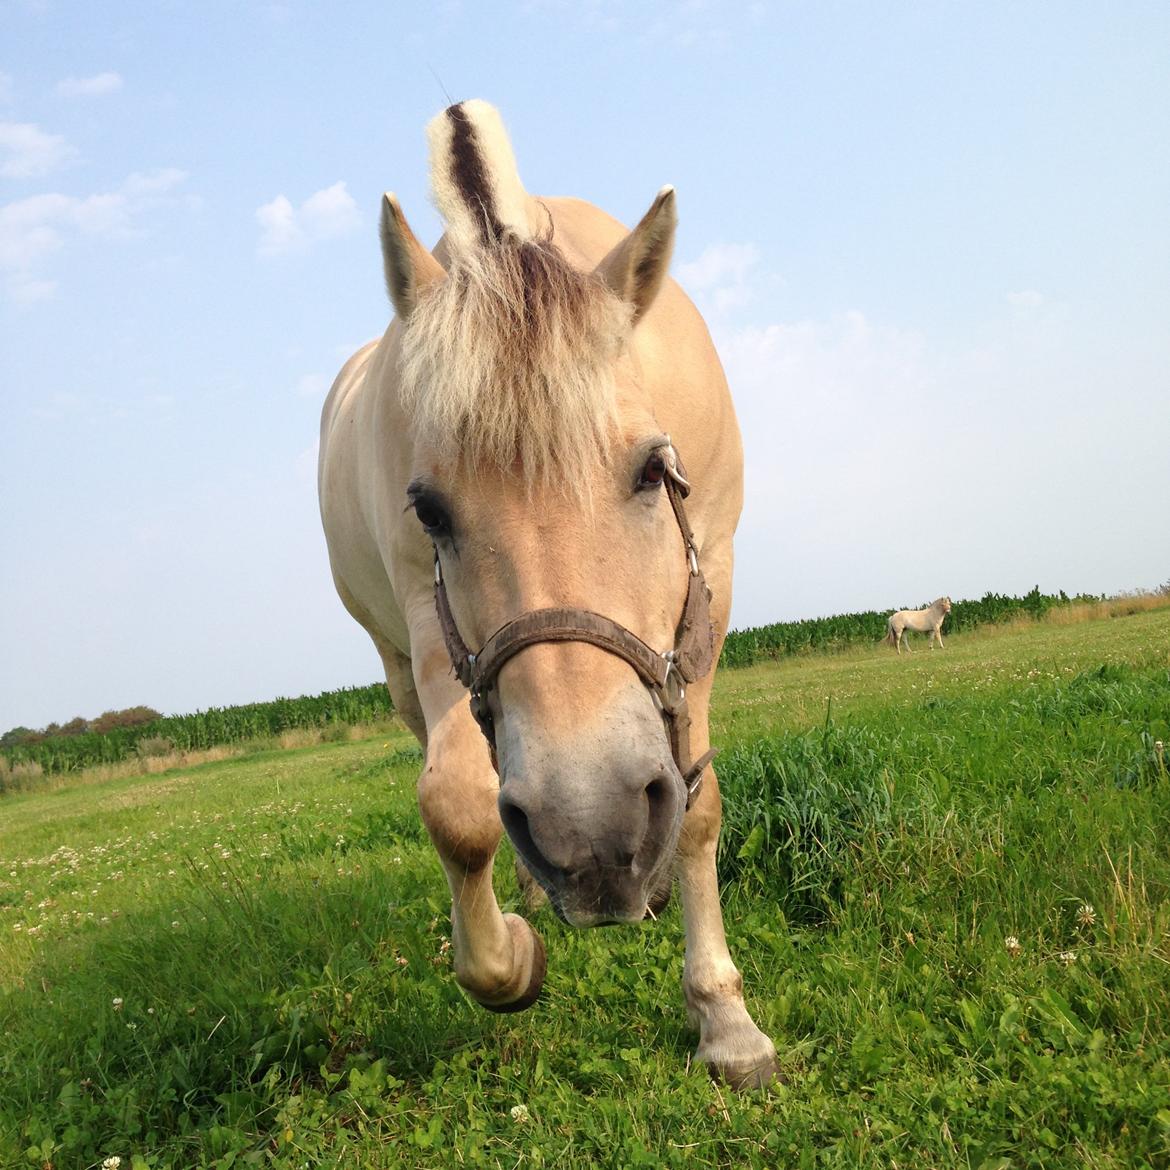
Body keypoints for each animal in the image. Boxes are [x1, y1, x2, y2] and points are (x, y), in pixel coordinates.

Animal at [320, 100, 776, 1085]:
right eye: (430, 509)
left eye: (654, 470)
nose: (592, 834)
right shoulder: (430, 622)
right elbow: (456, 806)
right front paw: (510, 958)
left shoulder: (709, 589)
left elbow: (696, 806)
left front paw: (725, 1019)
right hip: (398, 660)